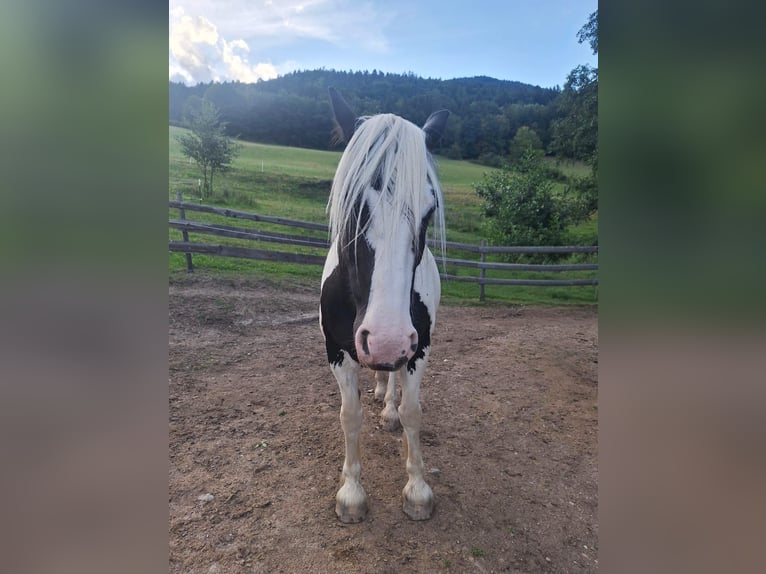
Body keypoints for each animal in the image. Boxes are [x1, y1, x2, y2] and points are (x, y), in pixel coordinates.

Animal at [319, 87, 449, 522]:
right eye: (353, 203)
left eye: (429, 210)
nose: (387, 340)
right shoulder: (337, 350)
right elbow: (350, 415)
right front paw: (351, 495)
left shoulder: (418, 347)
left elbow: (413, 411)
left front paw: (418, 490)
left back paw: (388, 406)